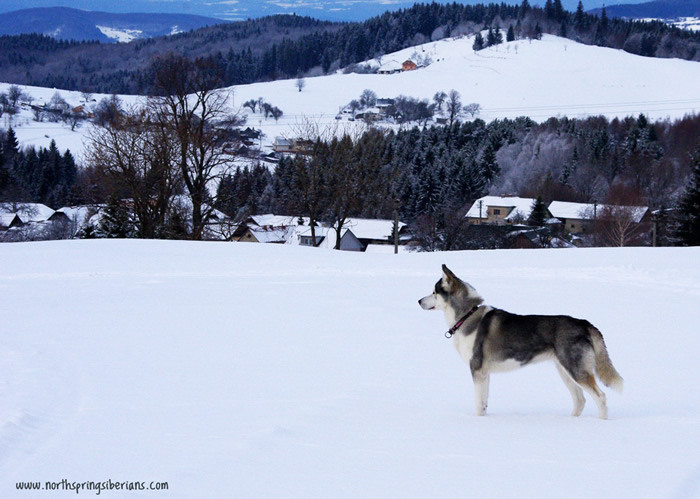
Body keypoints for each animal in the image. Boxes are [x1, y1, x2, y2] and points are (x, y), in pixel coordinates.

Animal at [418, 264, 628, 420]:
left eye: (434, 292)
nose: (419, 301)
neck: (466, 316)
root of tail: (584, 323)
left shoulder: (476, 369)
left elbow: (478, 404)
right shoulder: (485, 373)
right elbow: (484, 402)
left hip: (576, 370)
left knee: (600, 397)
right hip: (565, 371)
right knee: (580, 400)